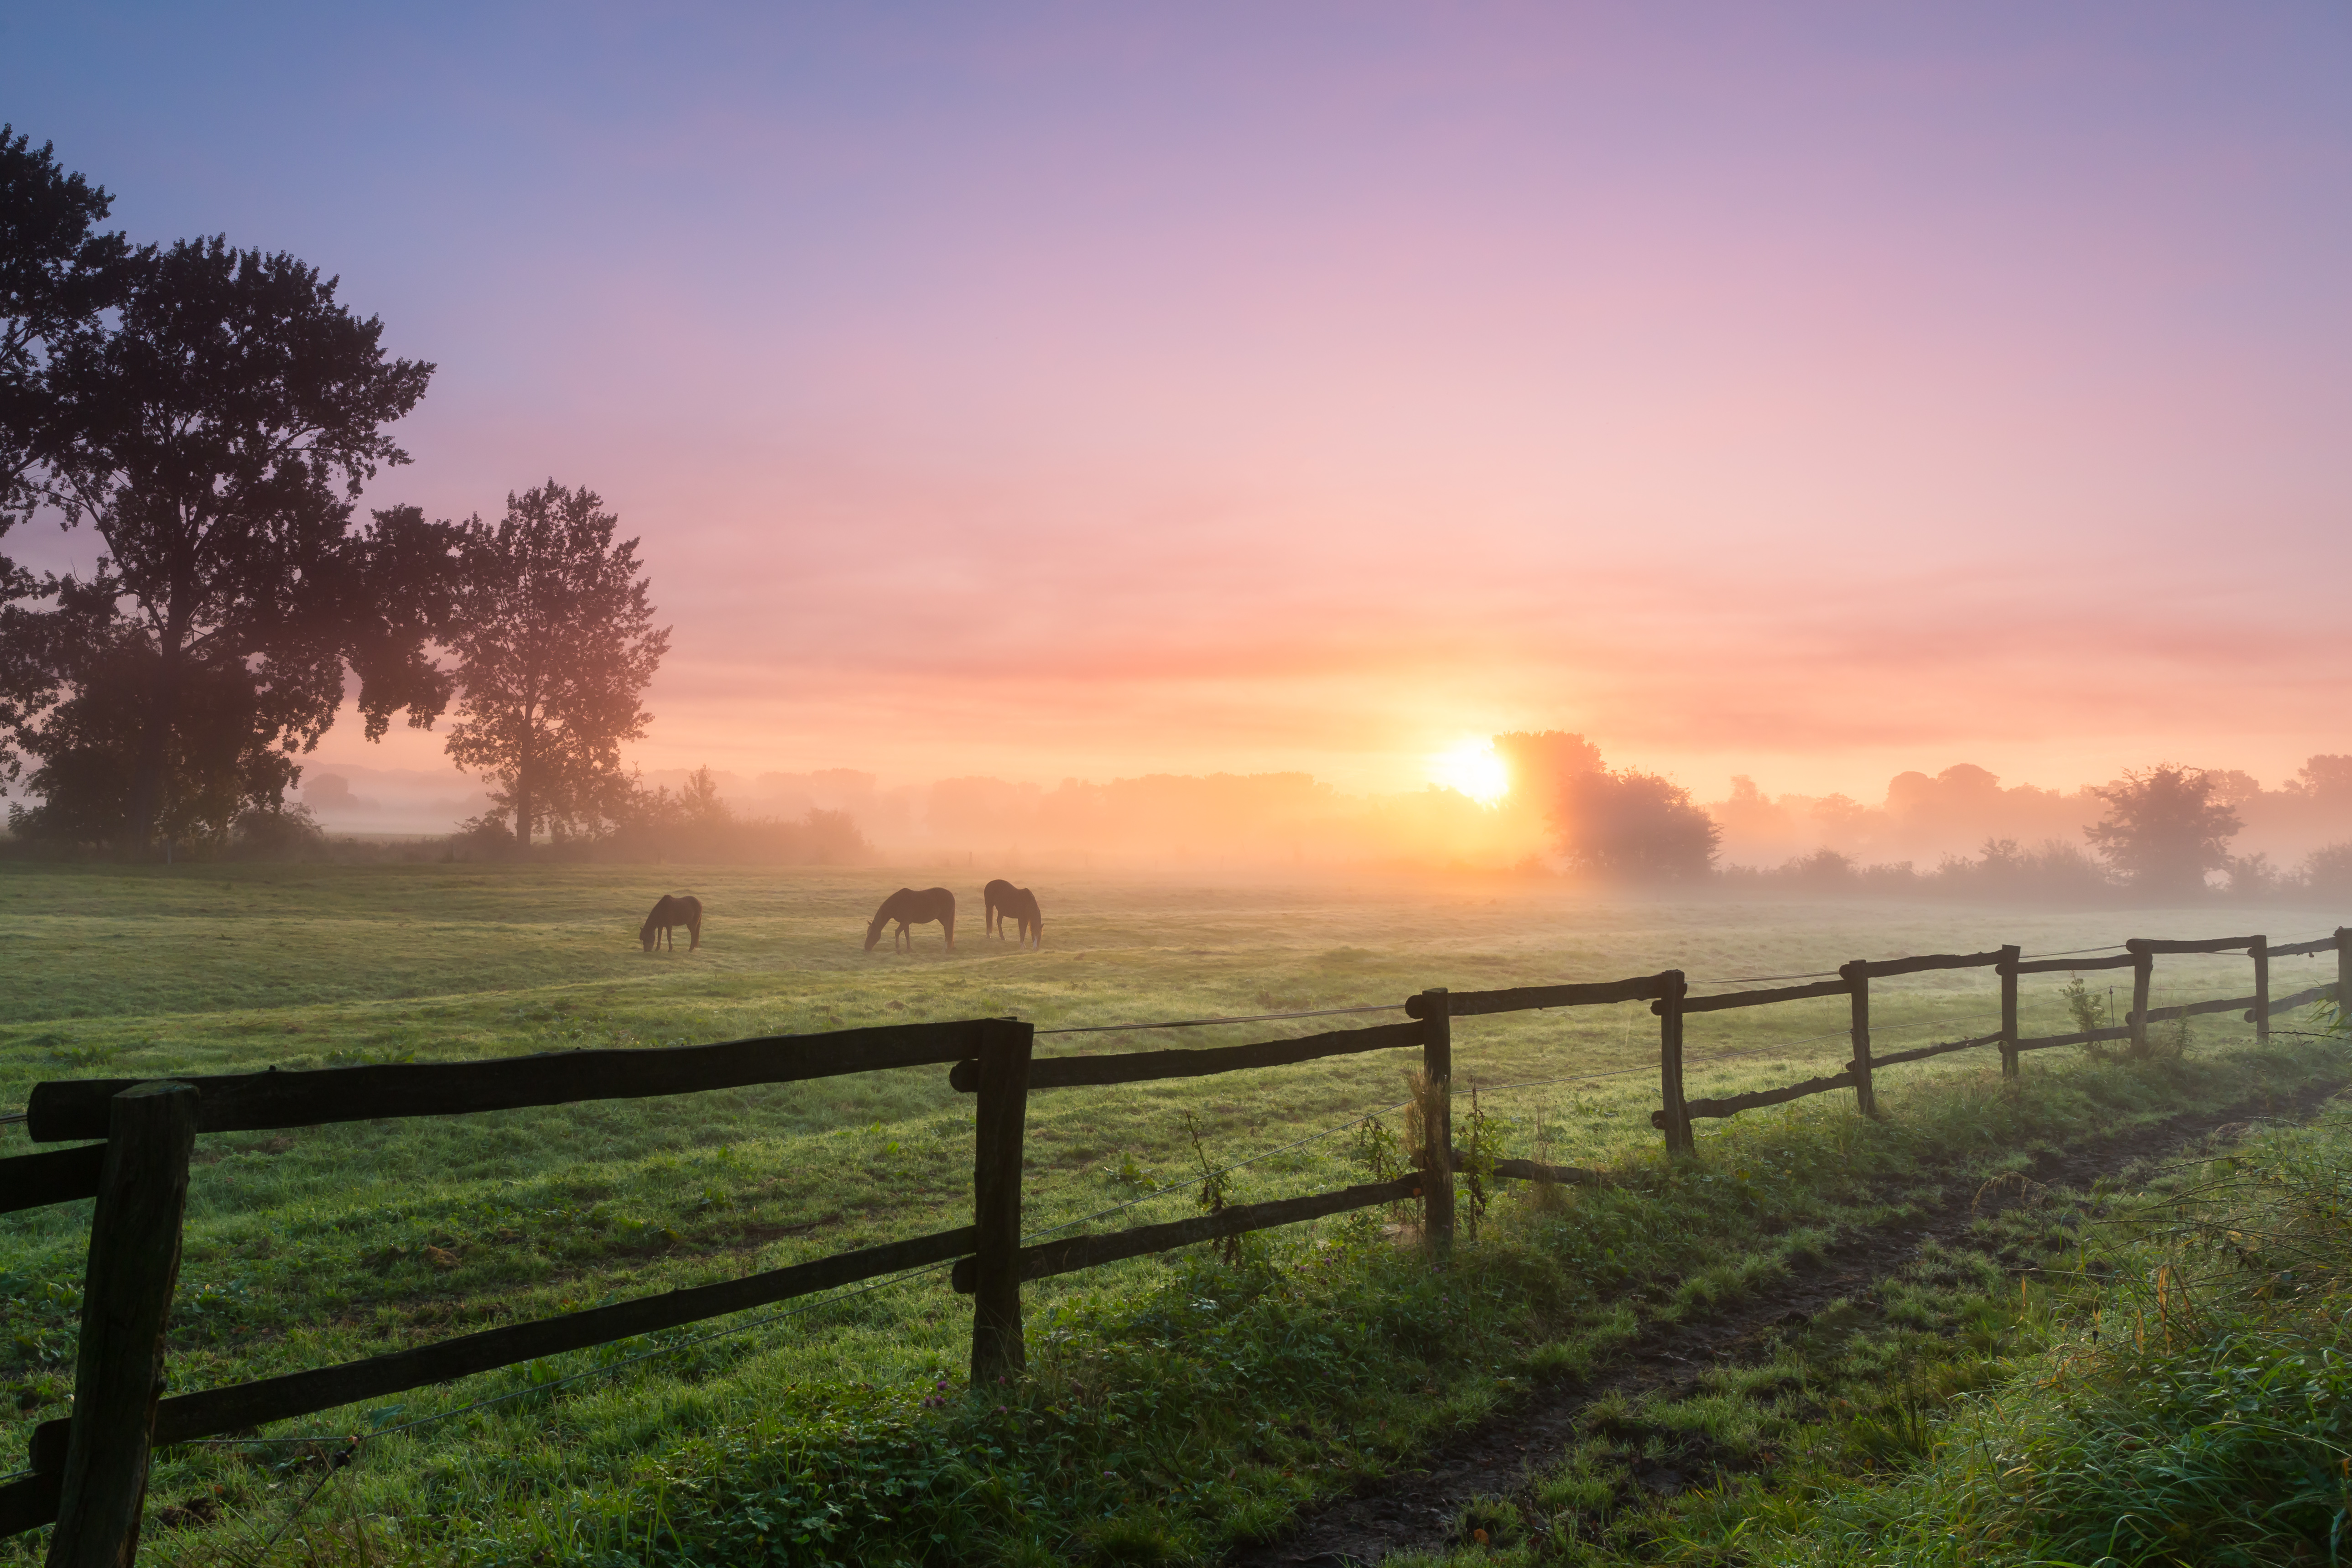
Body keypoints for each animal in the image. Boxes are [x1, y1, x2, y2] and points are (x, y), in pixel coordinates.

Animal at [640, 893, 701, 959]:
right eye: (642, 939)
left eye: (647, 937)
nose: (646, 950)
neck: (662, 910)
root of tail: (699, 903)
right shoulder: (660, 926)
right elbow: (659, 937)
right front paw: (657, 949)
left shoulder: (669, 926)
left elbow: (669, 937)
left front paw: (670, 949)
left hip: (692, 924)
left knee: (693, 935)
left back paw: (691, 949)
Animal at [865, 888, 955, 949]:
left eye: (871, 933)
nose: (866, 948)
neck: (897, 903)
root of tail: (951, 895)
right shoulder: (905, 923)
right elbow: (907, 935)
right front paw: (909, 949)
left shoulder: (905, 922)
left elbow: (897, 933)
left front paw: (898, 948)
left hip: (945, 919)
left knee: (948, 931)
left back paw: (945, 948)